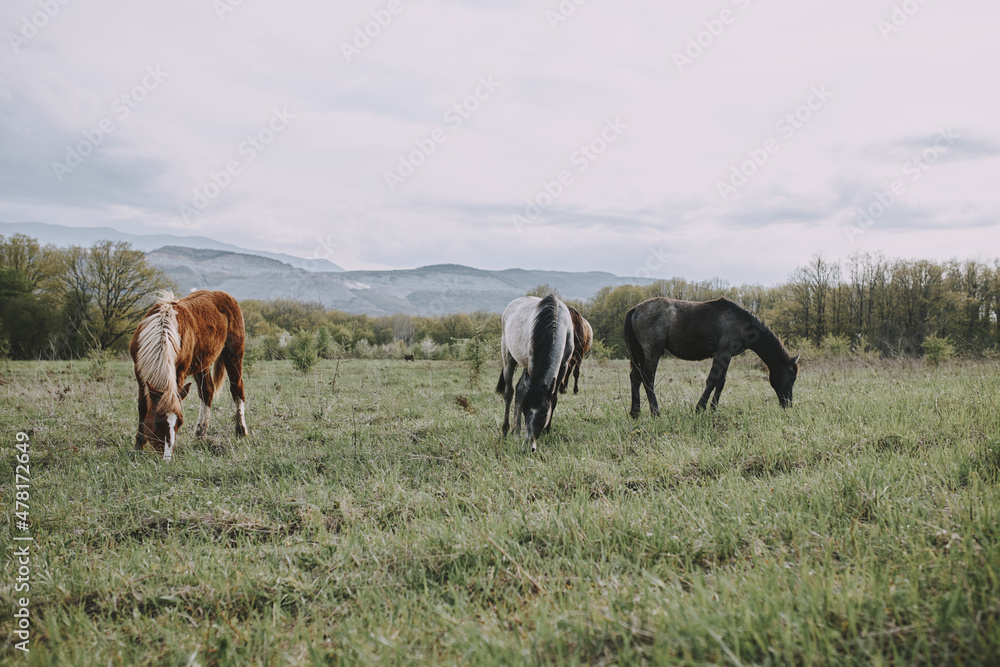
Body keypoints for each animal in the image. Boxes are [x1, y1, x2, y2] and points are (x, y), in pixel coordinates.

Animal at [130, 290, 249, 461]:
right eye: (158, 422)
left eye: (179, 423)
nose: (167, 458)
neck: (162, 331)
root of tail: (226, 295)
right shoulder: (139, 373)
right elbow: (142, 406)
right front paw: (138, 446)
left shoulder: (178, 373)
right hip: (202, 363)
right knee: (207, 392)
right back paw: (200, 434)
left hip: (234, 355)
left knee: (237, 388)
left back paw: (240, 430)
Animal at [495, 294, 575, 452]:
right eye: (525, 411)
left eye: (544, 414)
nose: (528, 447)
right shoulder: (532, 365)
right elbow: (521, 394)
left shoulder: (563, 366)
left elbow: (554, 398)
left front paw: (547, 429)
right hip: (508, 358)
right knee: (510, 392)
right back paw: (507, 429)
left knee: (519, 389)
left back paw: (515, 430)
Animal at [624, 297, 799, 417]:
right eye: (792, 377)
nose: (788, 404)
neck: (743, 324)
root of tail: (635, 309)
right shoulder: (721, 353)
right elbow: (712, 380)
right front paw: (700, 408)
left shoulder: (728, 355)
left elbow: (720, 382)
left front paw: (714, 408)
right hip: (652, 352)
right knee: (648, 378)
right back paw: (655, 412)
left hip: (638, 353)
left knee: (635, 378)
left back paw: (635, 412)